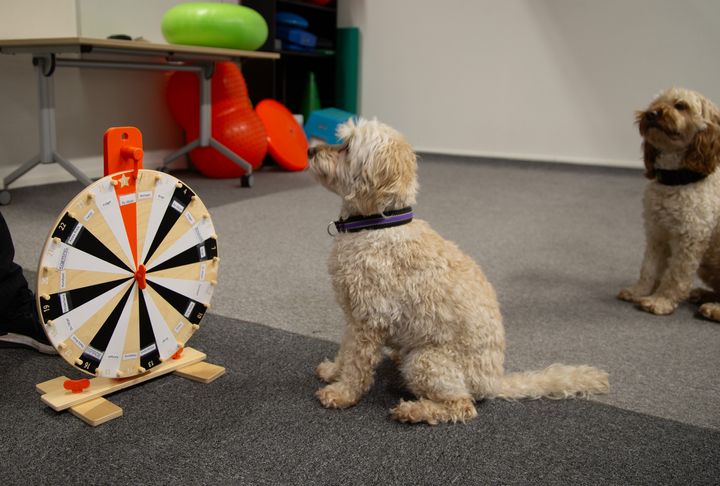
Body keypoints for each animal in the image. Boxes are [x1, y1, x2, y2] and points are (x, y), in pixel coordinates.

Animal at [308, 119, 608, 424]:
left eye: (347, 147)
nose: (311, 151)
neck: (377, 225)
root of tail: (493, 381)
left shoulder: (369, 319)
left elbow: (357, 364)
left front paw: (342, 393)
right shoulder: (352, 316)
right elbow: (346, 349)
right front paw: (333, 371)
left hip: (427, 362)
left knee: (462, 406)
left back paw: (414, 410)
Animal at [616, 88, 720, 320]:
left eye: (681, 106)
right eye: (654, 104)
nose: (651, 114)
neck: (676, 180)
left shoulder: (691, 238)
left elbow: (675, 275)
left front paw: (660, 301)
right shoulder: (657, 232)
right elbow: (649, 267)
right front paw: (639, 291)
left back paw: (715, 308)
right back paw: (702, 294)